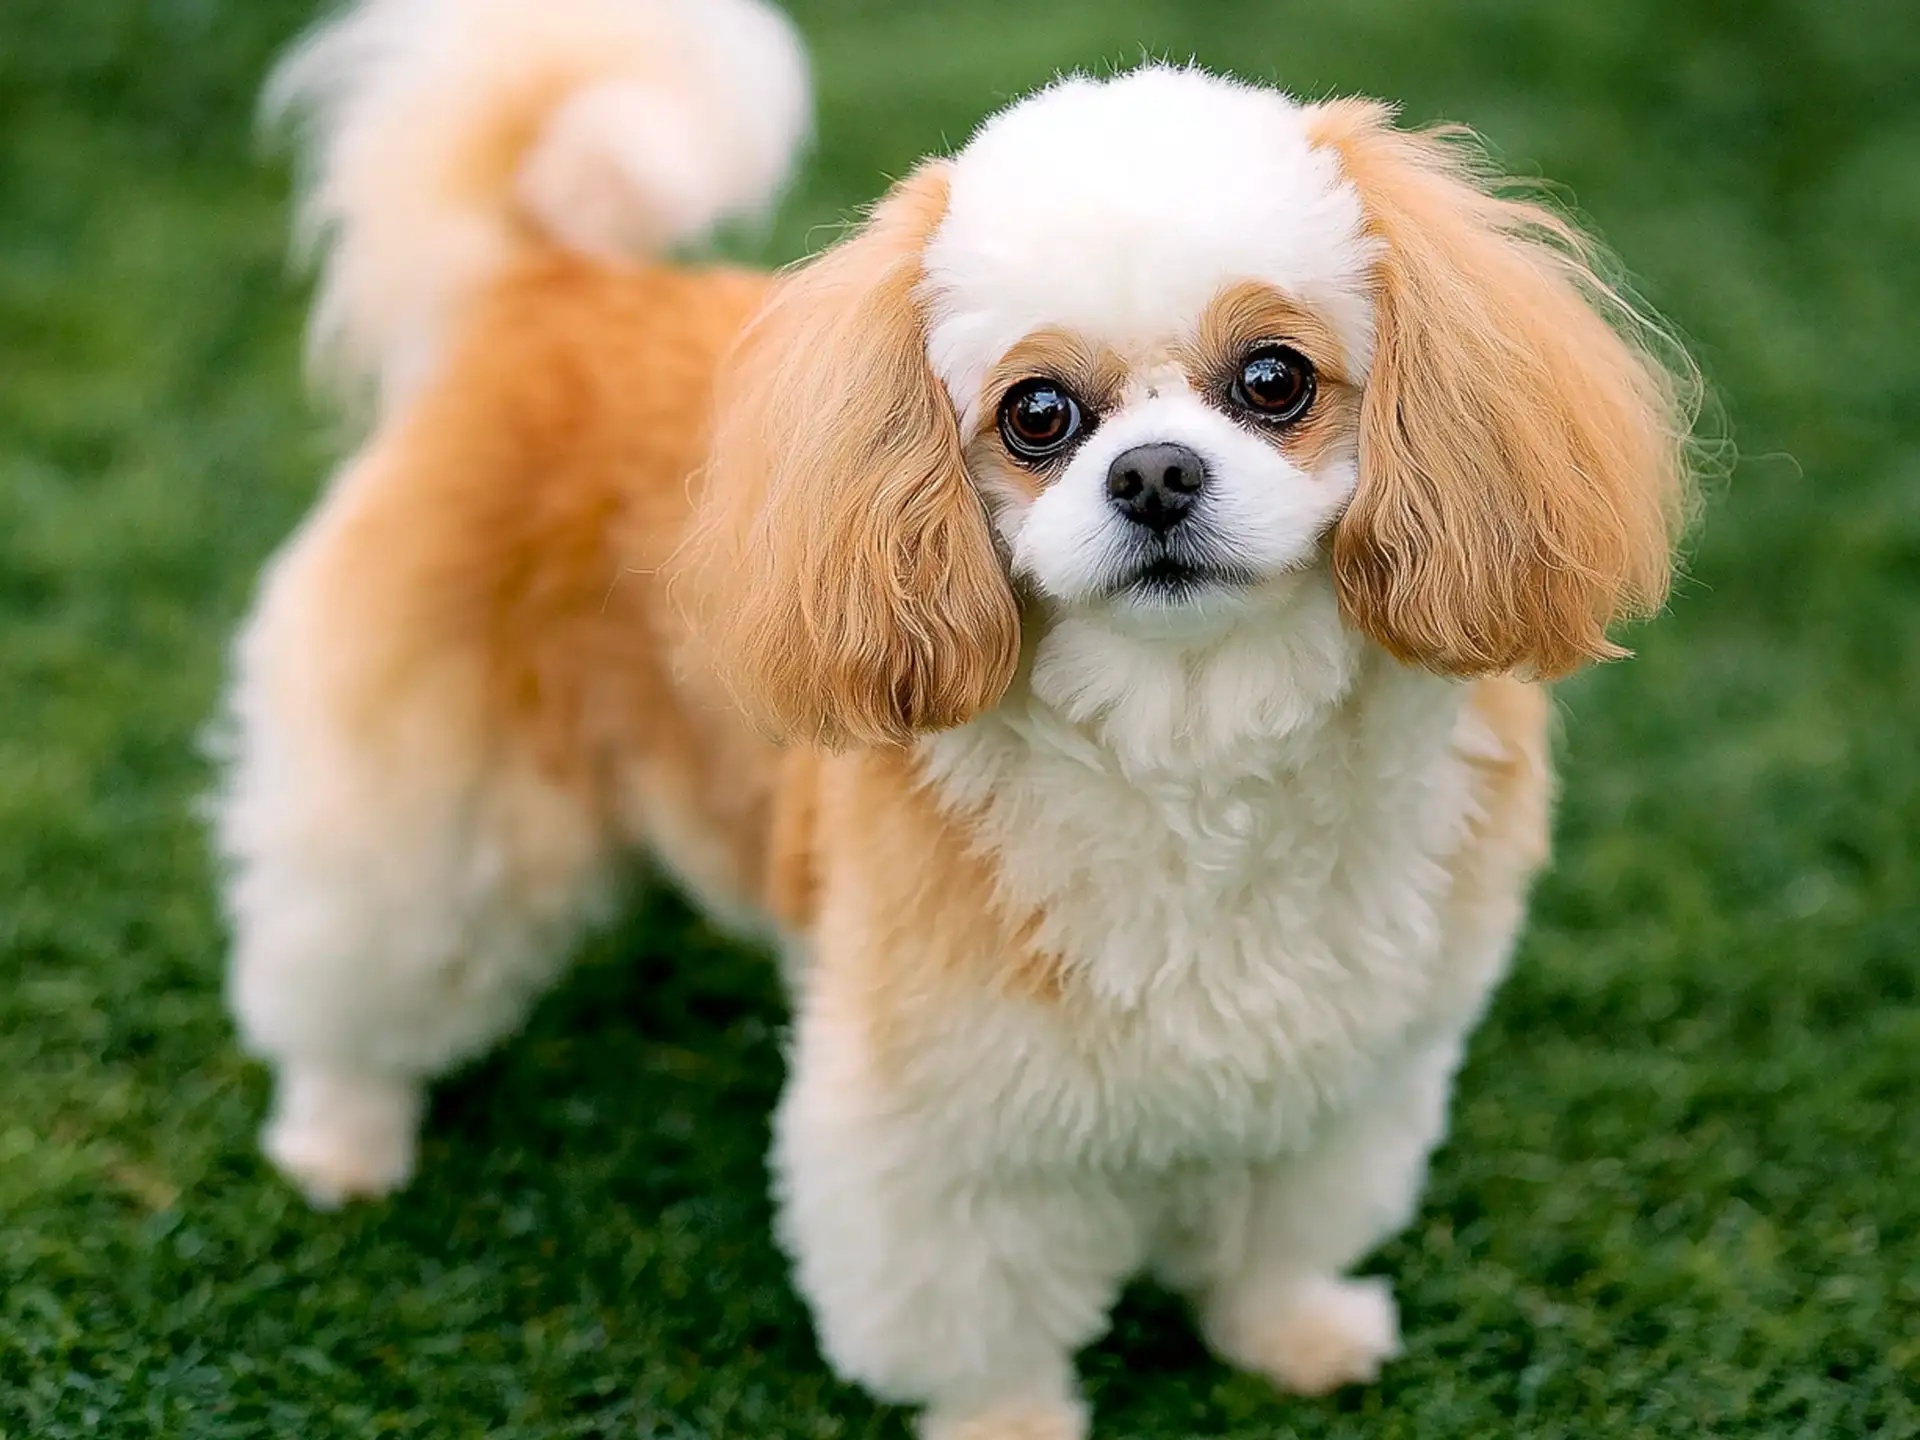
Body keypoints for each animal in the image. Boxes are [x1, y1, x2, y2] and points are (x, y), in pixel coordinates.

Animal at [214, 0, 1697, 1436]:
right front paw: (1010, 1424)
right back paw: (342, 1140)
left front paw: (1287, 1333)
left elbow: (1279, 1228)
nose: (1156, 475)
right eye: (1039, 414)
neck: (1194, 730)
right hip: (440, 803)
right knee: (355, 953)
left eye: (1274, 380)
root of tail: (555, 283)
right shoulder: (944, 1122)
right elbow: (979, 1314)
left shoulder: (1344, 1069)